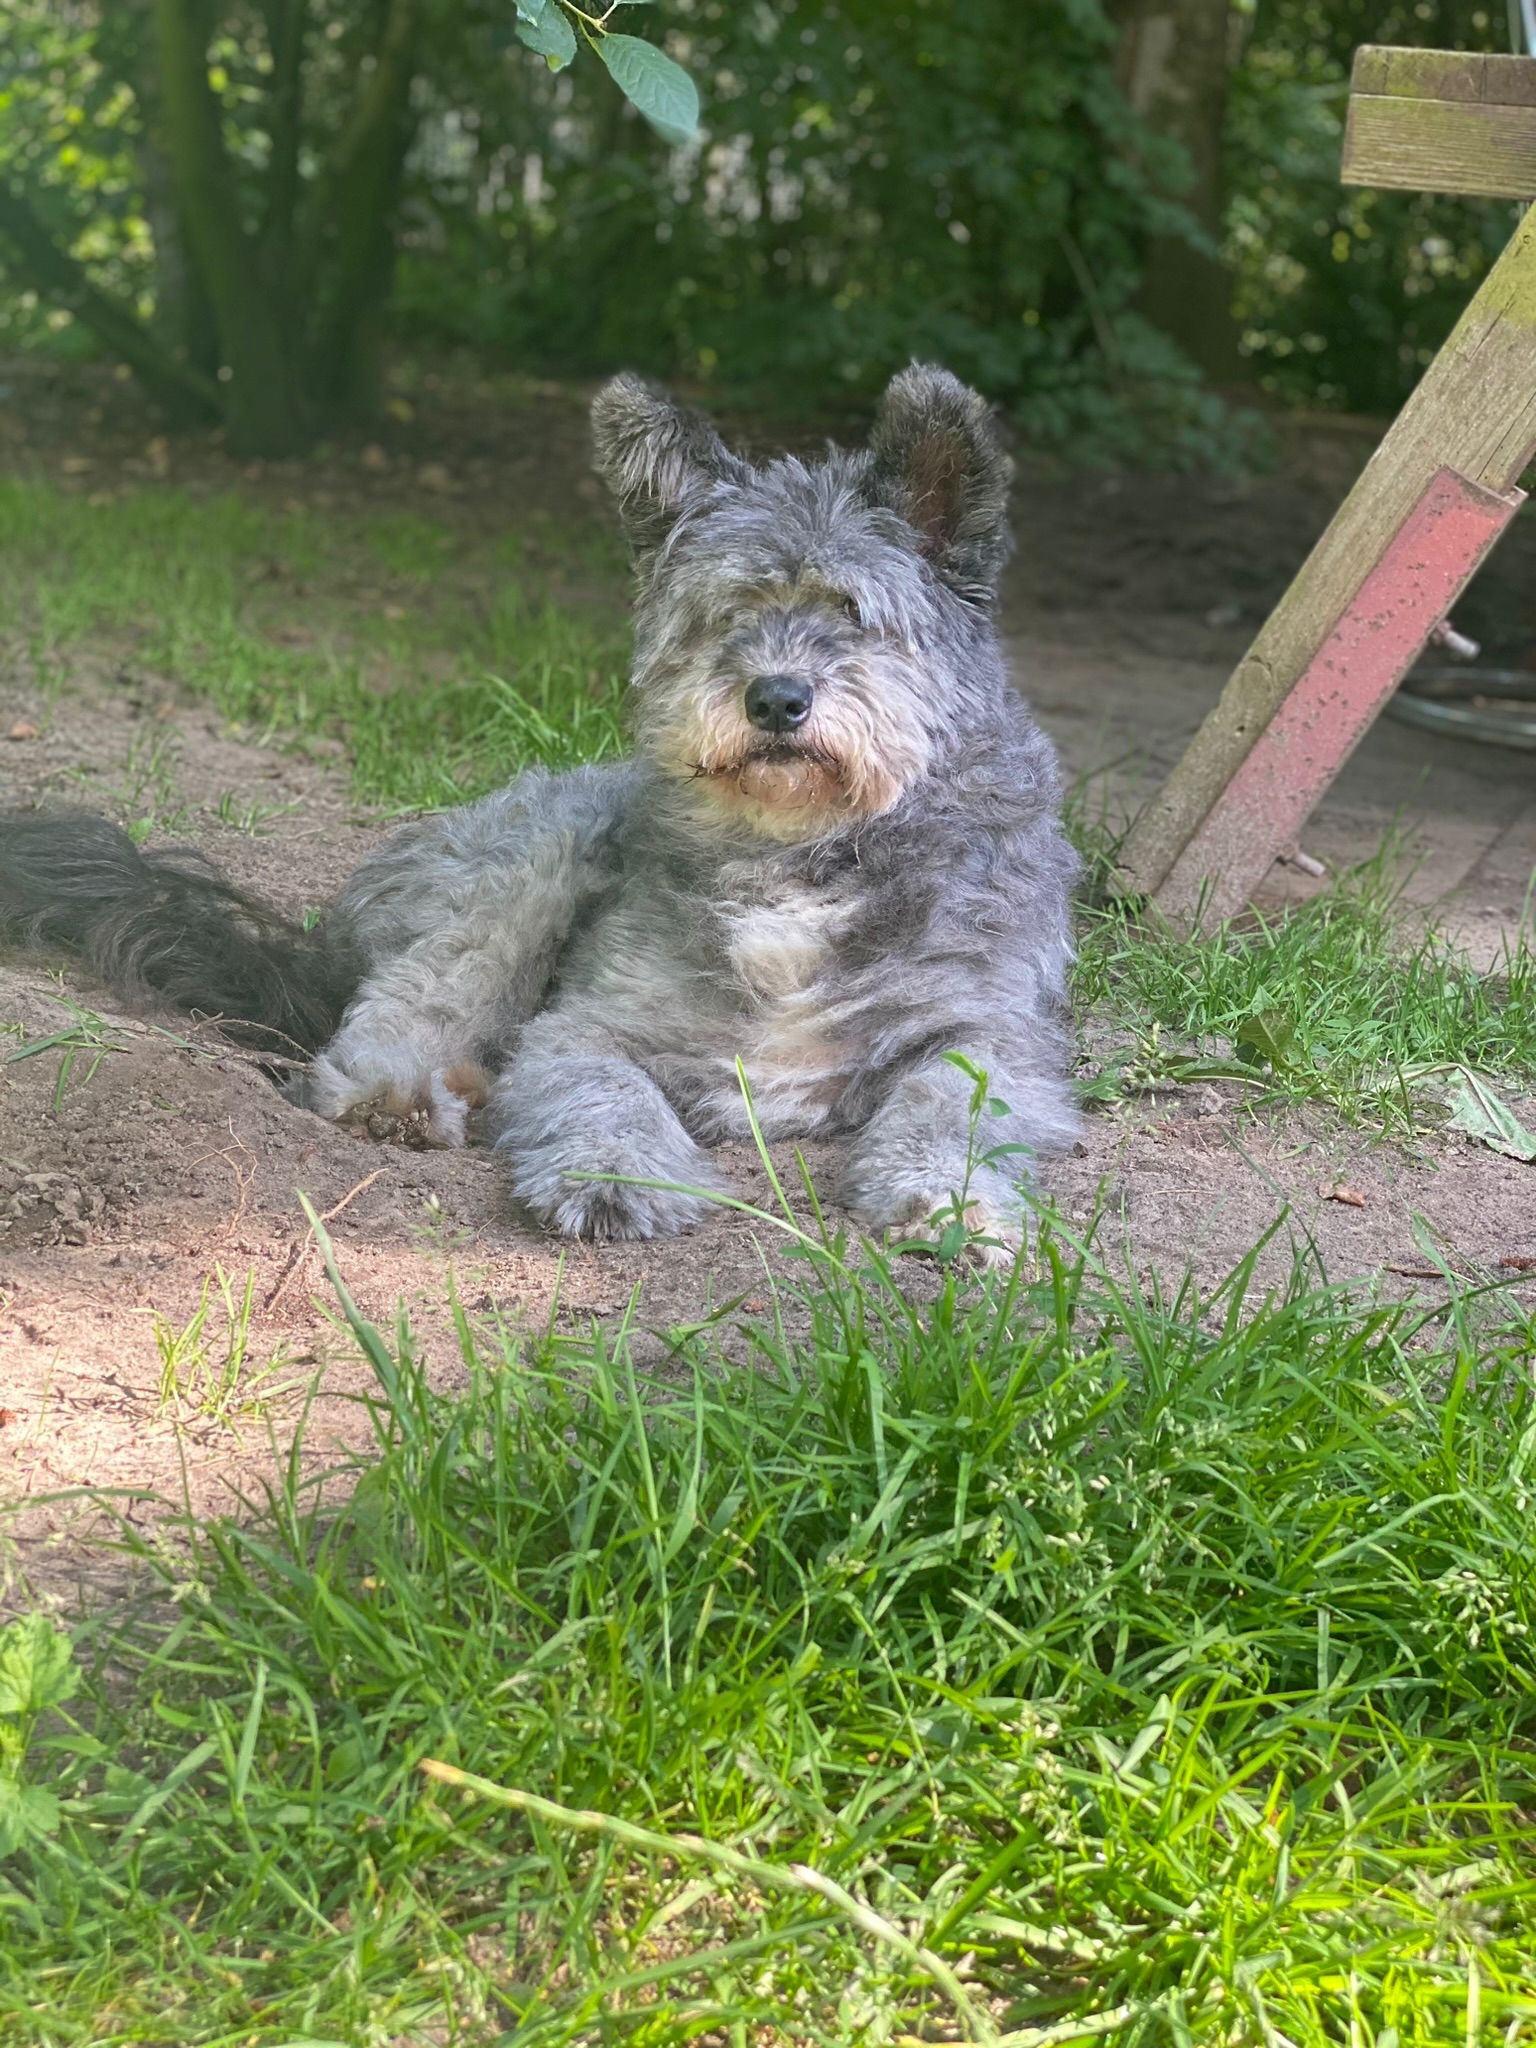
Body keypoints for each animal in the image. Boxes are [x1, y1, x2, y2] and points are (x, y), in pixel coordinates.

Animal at [0, 366, 1079, 1250]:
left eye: (853, 611)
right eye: (725, 614)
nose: (775, 698)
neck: (800, 852)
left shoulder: (992, 1035)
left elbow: (950, 1100)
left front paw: (949, 1201)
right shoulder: (593, 1021)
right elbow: (601, 1085)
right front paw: (616, 1176)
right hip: (524, 873)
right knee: (396, 1014)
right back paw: (403, 1096)